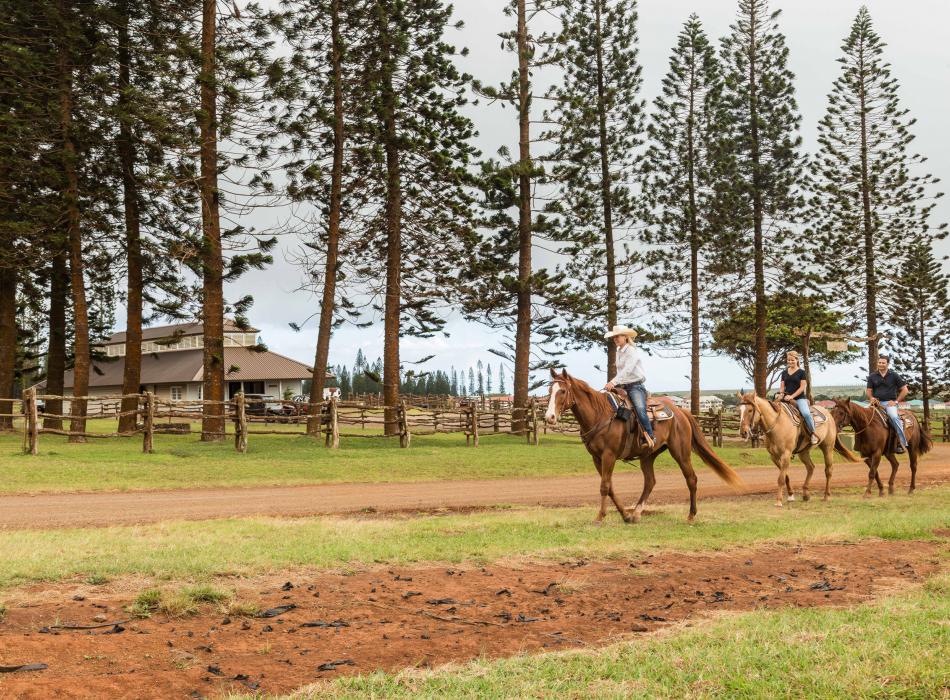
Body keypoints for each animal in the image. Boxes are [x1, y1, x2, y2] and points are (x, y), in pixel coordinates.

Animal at [544, 370, 744, 524]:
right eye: (550, 390)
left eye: (563, 391)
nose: (549, 417)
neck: (600, 415)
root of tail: (681, 411)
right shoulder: (597, 458)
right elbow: (610, 487)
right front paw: (625, 515)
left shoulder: (609, 455)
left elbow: (604, 486)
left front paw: (600, 517)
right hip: (648, 455)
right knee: (650, 481)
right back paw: (636, 513)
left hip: (680, 452)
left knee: (691, 479)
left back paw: (690, 516)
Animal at [732, 392, 860, 506]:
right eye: (739, 411)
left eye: (750, 410)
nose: (743, 432)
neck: (777, 424)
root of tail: (829, 414)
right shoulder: (774, 457)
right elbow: (785, 476)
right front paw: (790, 495)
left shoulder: (786, 454)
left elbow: (781, 478)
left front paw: (778, 501)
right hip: (803, 452)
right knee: (811, 467)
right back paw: (806, 494)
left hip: (827, 447)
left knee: (828, 470)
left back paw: (826, 496)